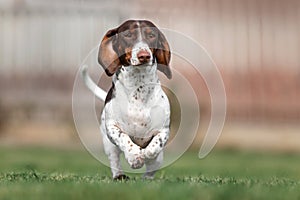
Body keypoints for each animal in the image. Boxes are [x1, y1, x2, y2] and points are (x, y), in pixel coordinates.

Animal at [81, 19, 171, 180]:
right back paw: (119, 176)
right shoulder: (112, 127)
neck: (138, 90)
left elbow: (154, 147)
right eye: (128, 35)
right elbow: (123, 138)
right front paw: (134, 157)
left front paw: (145, 154)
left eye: (152, 35)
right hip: (108, 146)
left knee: (152, 167)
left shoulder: (163, 131)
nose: (144, 55)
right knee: (115, 160)